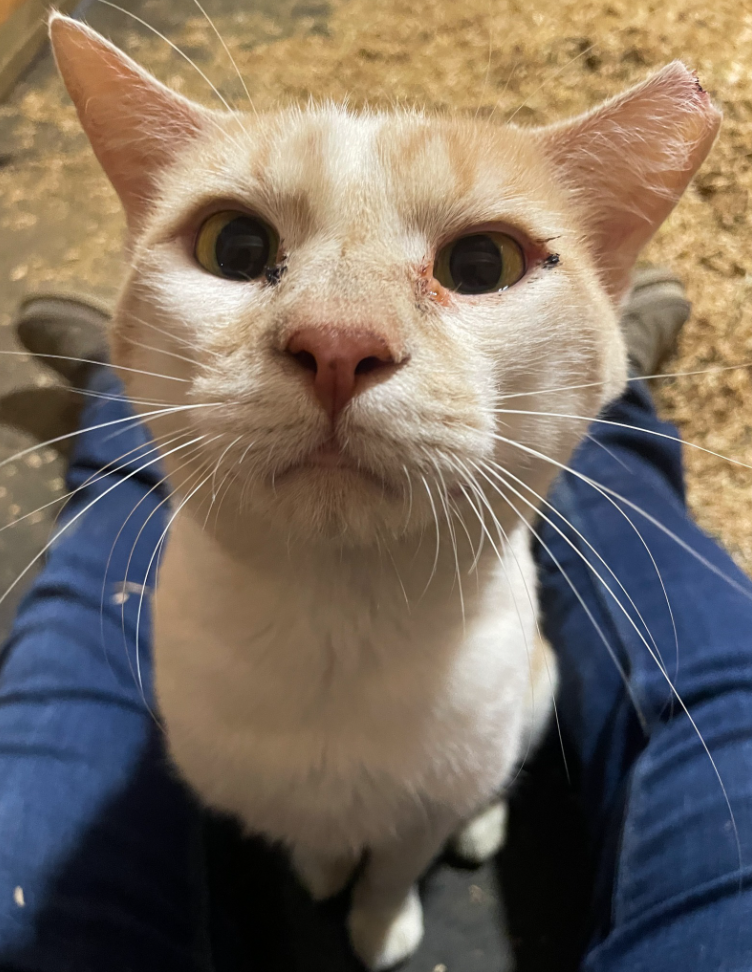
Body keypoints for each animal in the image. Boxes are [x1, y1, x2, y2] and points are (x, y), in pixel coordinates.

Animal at [47, 17, 716, 972]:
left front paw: (379, 923)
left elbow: (399, 861)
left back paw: (481, 825)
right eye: (234, 247)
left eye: (483, 263)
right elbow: (316, 836)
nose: (338, 342)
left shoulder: (427, 801)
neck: (339, 622)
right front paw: (325, 869)